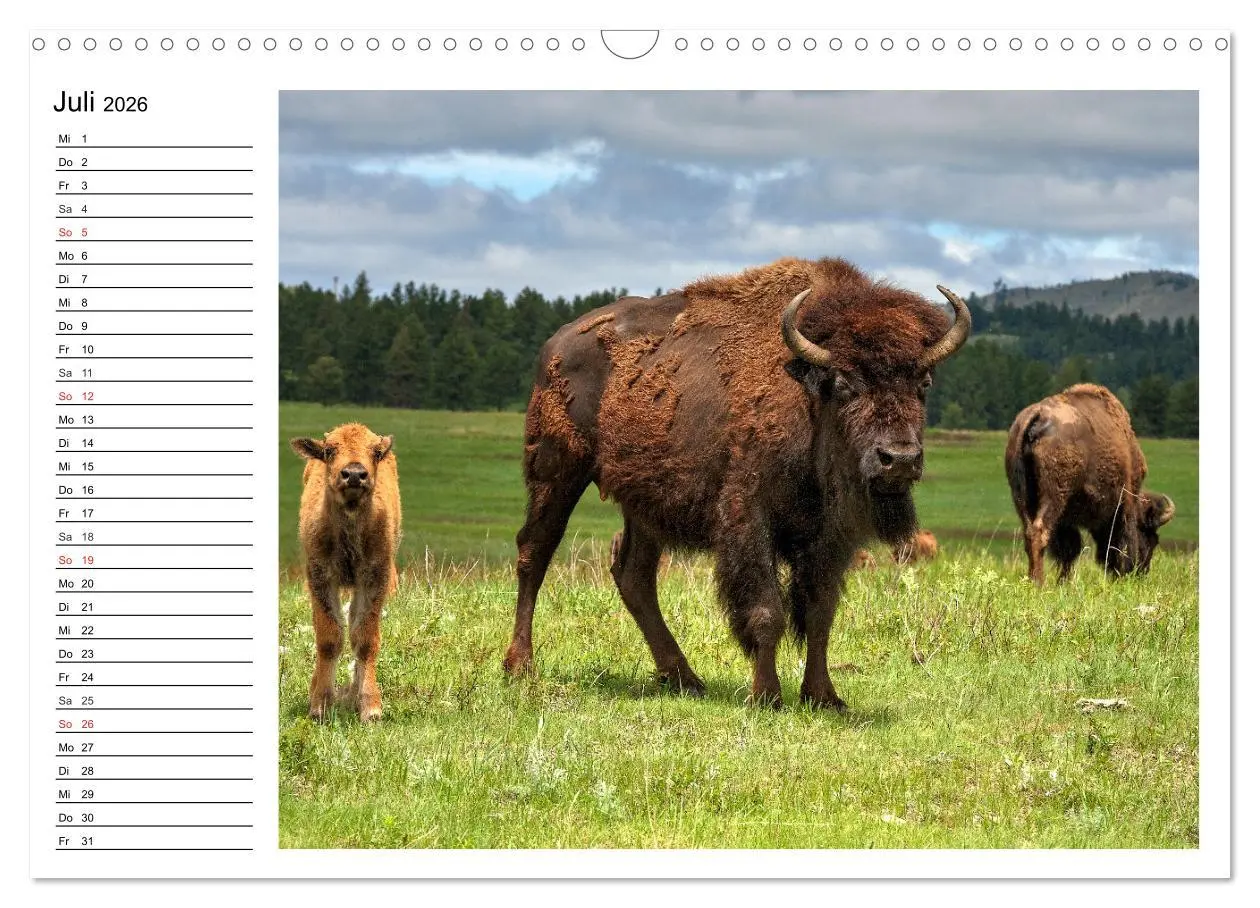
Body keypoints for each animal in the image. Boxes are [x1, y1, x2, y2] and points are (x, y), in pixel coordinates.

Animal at [503, 256, 970, 710]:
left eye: (923, 382)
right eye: (844, 382)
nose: (900, 459)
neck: (808, 394)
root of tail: (557, 343)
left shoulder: (830, 535)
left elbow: (820, 611)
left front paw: (824, 697)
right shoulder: (749, 517)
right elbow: (767, 610)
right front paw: (767, 695)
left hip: (644, 502)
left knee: (634, 574)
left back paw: (684, 678)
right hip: (557, 470)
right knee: (534, 552)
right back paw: (520, 667)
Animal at [1005, 383, 1175, 585]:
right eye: (1151, 538)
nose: (1141, 572)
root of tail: (1038, 416)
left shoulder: (1066, 521)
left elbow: (1070, 550)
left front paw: (1064, 583)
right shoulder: (1124, 505)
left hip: (1021, 496)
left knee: (1030, 532)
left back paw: (1032, 580)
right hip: (1053, 497)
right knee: (1040, 531)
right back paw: (1039, 583)